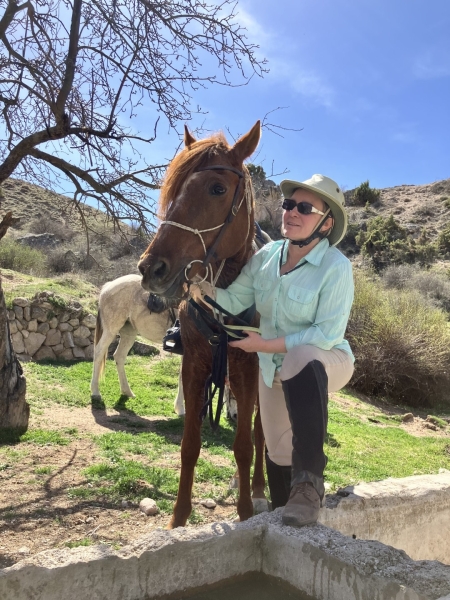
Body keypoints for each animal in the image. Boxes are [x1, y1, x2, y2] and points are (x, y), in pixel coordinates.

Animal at [138, 123, 268, 528]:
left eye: (217, 189)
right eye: (173, 187)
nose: (151, 268)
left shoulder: (247, 369)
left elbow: (244, 445)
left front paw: (245, 513)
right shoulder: (194, 364)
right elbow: (189, 445)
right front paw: (178, 519)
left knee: (261, 432)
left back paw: (259, 491)